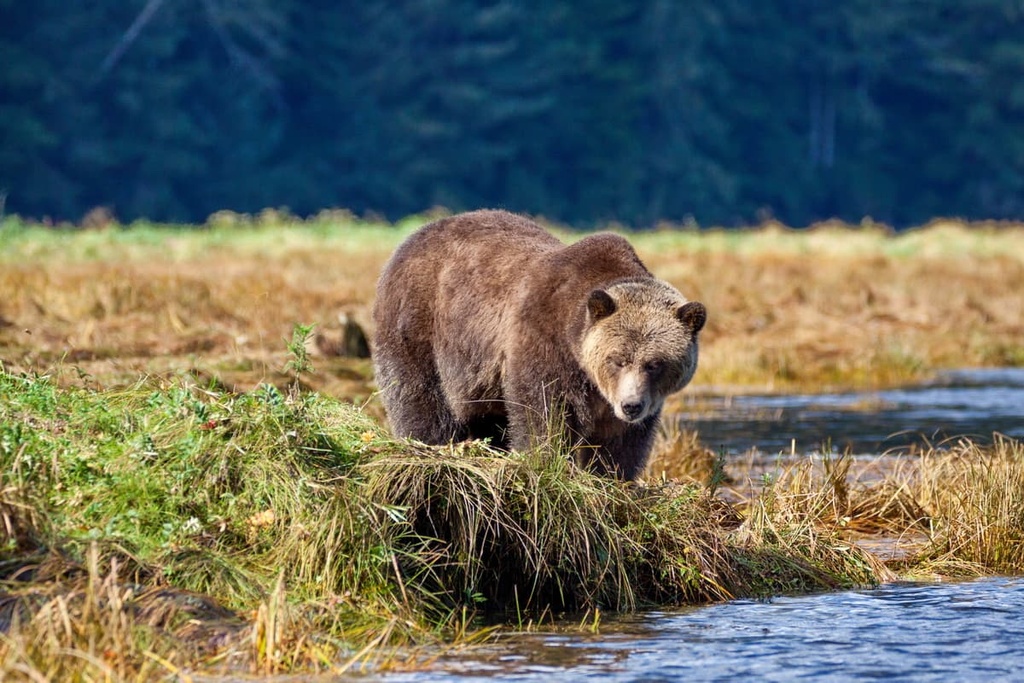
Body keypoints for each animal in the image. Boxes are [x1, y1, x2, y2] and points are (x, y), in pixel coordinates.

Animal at [372, 208, 708, 481]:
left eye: (655, 363)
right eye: (617, 359)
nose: (631, 405)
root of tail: (414, 235)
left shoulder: (625, 401)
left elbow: (622, 441)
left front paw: (612, 476)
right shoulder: (543, 341)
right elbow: (542, 412)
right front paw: (547, 461)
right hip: (420, 322)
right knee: (419, 396)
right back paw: (428, 444)